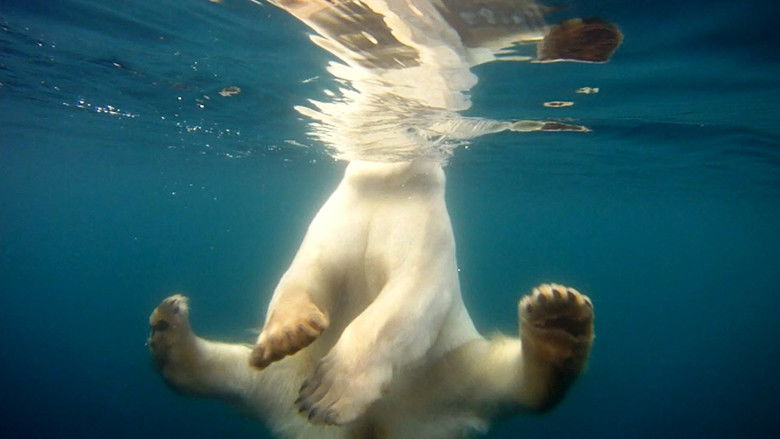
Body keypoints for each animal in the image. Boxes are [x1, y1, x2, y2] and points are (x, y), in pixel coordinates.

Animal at [148, 158, 595, 438]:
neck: (388, 184)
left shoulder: (425, 233)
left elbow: (408, 299)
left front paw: (328, 395)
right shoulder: (339, 217)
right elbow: (304, 273)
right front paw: (287, 333)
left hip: (452, 373)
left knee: (513, 384)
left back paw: (558, 318)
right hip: (278, 381)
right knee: (232, 373)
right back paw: (169, 325)